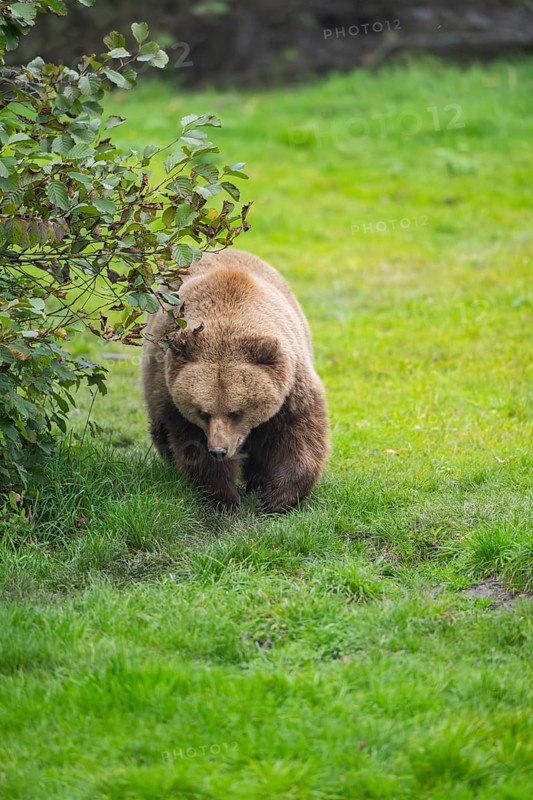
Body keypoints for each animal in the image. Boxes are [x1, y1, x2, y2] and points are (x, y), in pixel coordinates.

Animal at [141, 249, 328, 512]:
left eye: (236, 412)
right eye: (203, 412)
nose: (219, 450)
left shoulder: (291, 388)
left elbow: (299, 438)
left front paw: (275, 498)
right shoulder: (170, 391)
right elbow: (193, 447)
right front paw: (225, 498)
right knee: (161, 431)